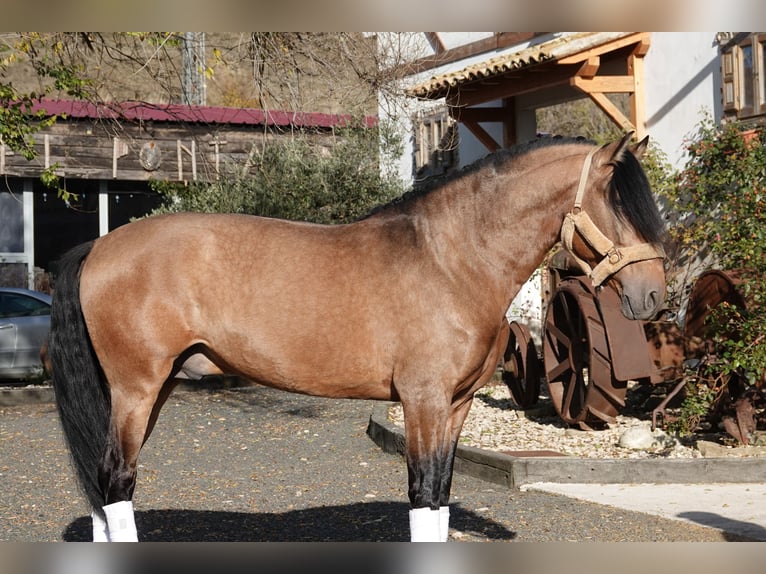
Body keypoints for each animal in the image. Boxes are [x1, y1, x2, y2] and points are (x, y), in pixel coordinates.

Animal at [48, 132, 666, 542]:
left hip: (154, 389)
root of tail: (99, 246)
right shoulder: (422, 403)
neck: (450, 260)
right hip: (136, 390)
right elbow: (421, 496)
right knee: (117, 481)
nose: (654, 296)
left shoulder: (456, 405)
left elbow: (440, 495)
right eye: (617, 205)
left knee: (107, 488)